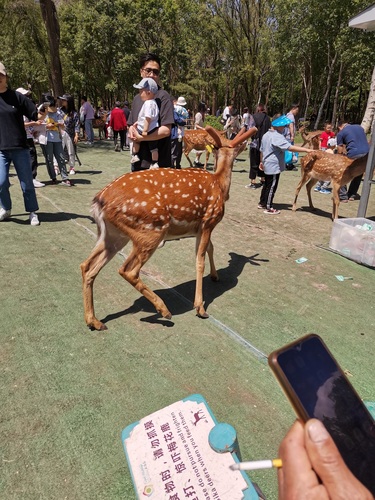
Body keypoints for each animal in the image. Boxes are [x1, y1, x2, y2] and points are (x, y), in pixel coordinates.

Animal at [80, 125, 258, 330]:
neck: (220, 186)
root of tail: (99, 201)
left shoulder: (200, 227)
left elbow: (210, 249)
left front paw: (215, 276)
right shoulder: (209, 220)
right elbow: (200, 260)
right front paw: (200, 307)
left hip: (112, 235)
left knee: (87, 266)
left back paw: (94, 321)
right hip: (150, 231)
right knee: (127, 270)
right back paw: (164, 310)